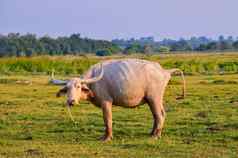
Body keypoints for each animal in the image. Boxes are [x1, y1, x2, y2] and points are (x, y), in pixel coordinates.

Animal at [54, 58, 186, 141]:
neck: (93, 82)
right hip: (152, 100)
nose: (71, 101)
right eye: (67, 88)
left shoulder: (106, 102)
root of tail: (164, 71)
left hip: (154, 97)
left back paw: (156, 136)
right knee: (157, 114)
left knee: (160, 115)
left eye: (78, 86)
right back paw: (152, 133)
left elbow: (107, 119)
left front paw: (107, 138)